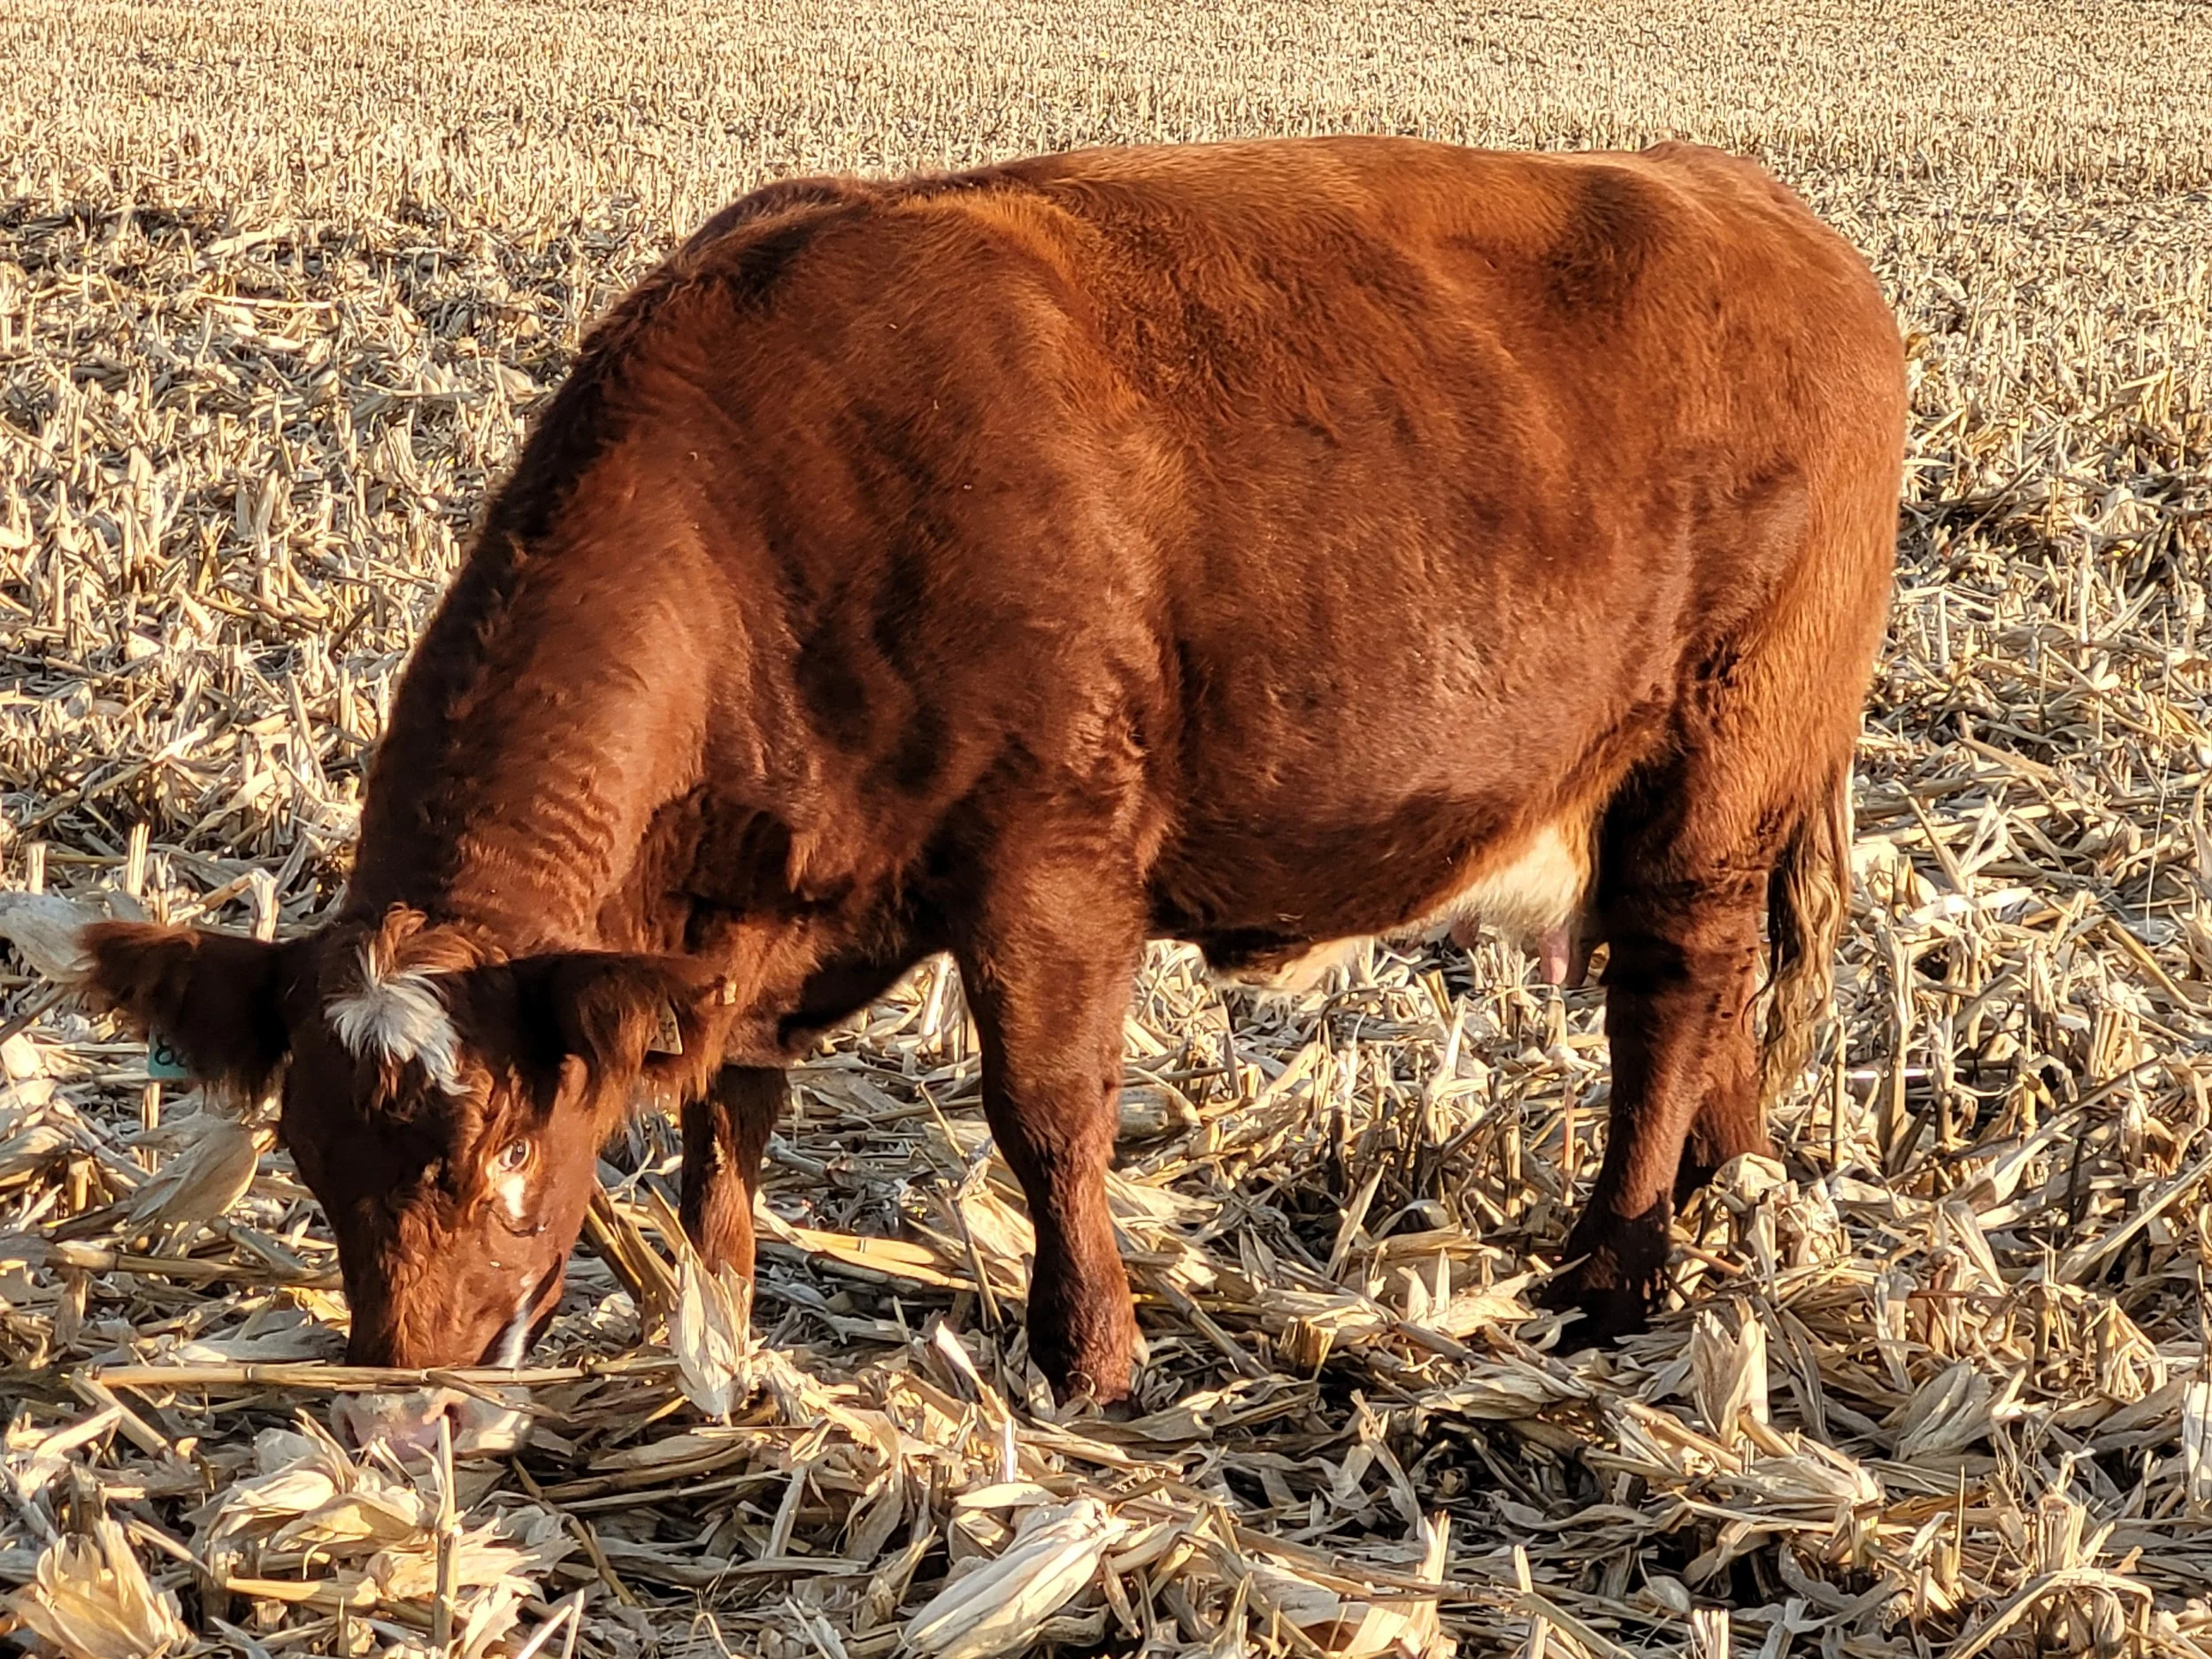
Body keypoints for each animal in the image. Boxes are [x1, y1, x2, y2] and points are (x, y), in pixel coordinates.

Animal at [10, 136, 1904, 1453]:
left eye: (500, 1150)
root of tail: (1762, 209)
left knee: (1671, 991)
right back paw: (1718, 1184)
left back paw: (1615, 1269)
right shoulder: (742, 928)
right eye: (311, 1163)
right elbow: (723, 1129)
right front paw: (721, 1344)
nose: (406, 1412)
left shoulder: (1050, 861)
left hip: (1718, 761)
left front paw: (1091, 1358)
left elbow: (1045, 1119)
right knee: (1712, 1003)